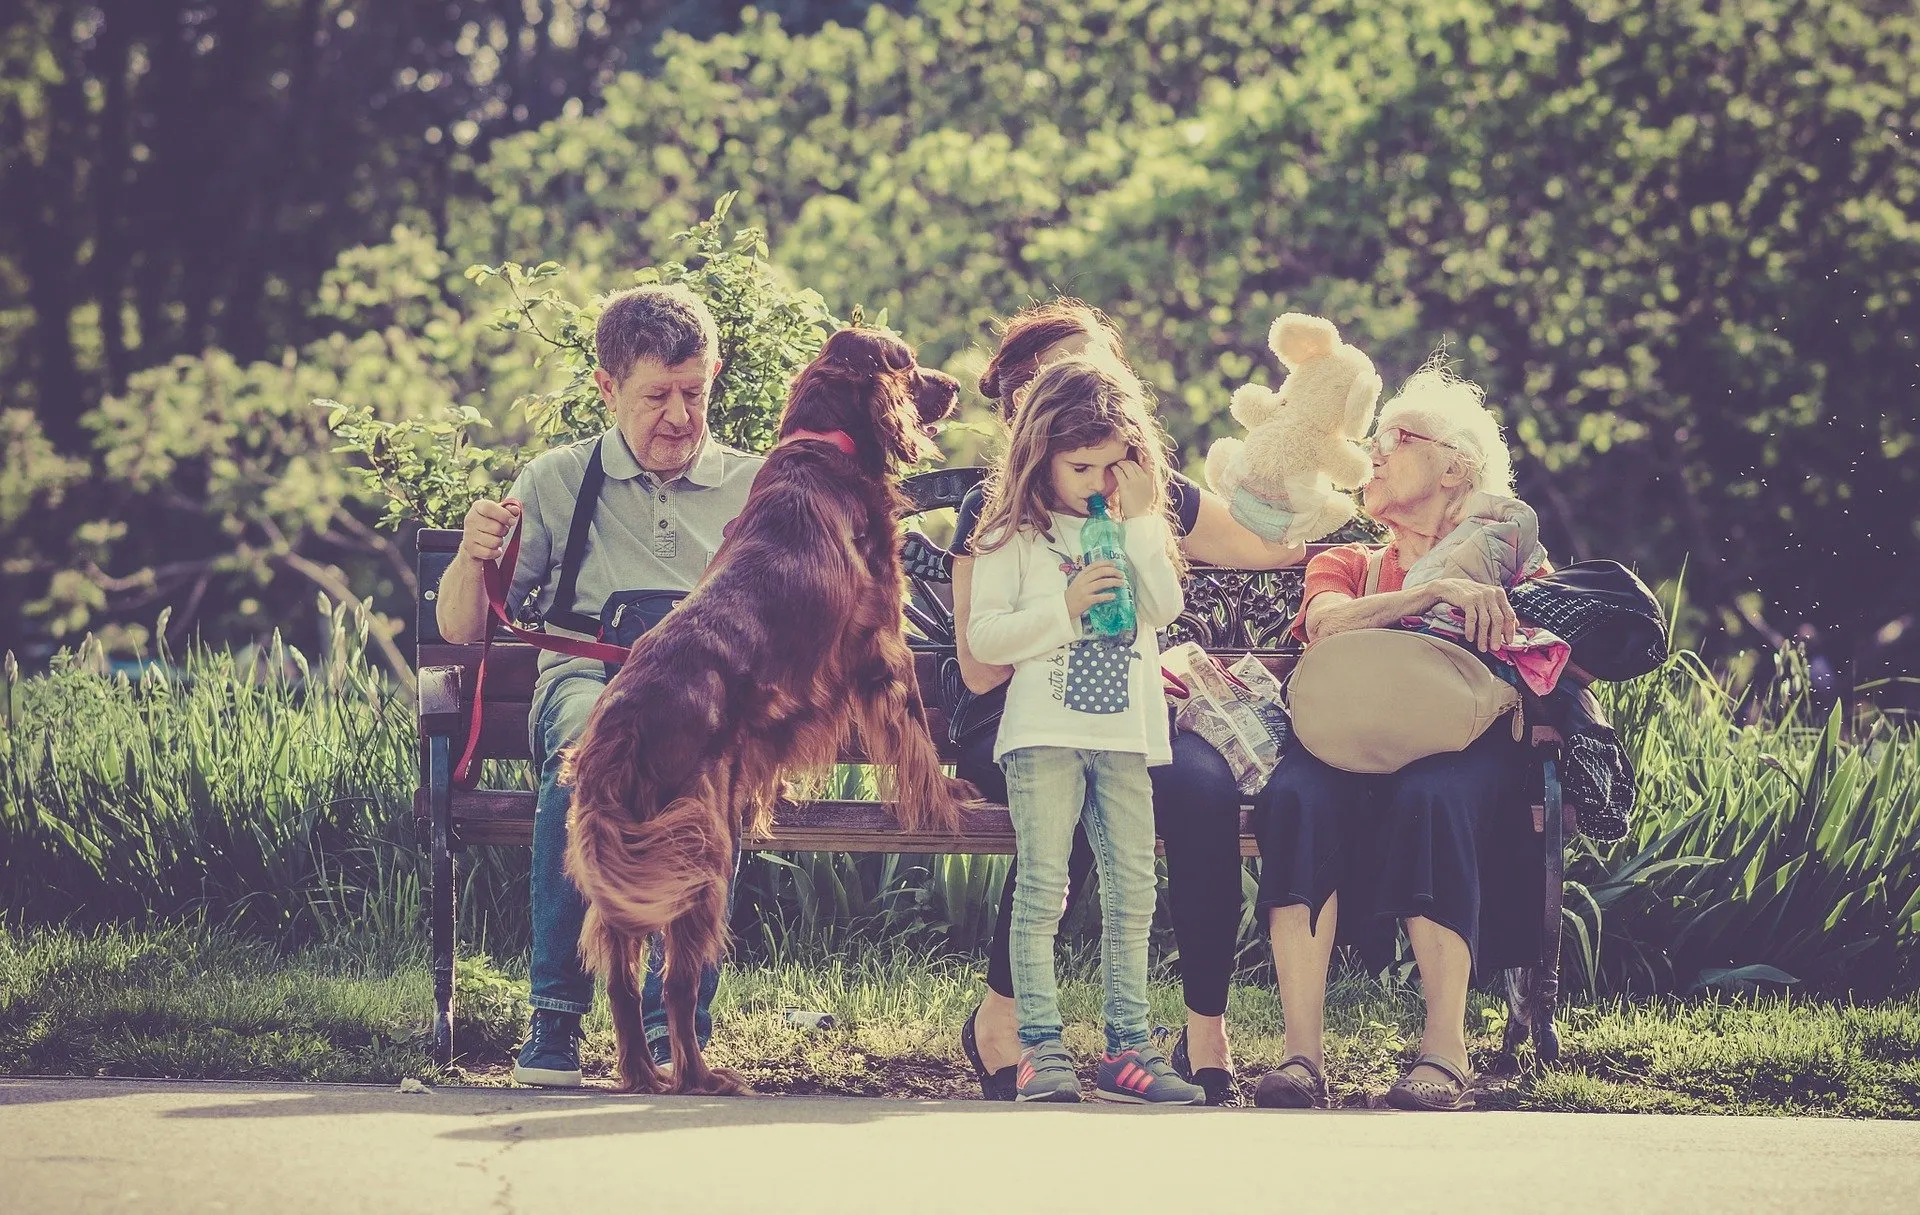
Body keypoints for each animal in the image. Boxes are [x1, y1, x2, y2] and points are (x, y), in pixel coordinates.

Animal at [556, 326, 975, 1097]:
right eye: (905, 361)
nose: (956, 384)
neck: (825, 446)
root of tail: (619, 726)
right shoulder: (882, 644)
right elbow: (916, 734)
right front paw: (945, 801)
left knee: (624, 975)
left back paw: (642, 1072)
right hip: (700, 850)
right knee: (678, 980)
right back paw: (700, 1075)